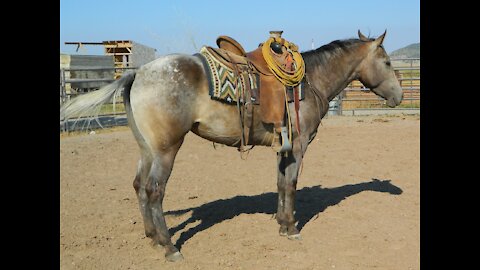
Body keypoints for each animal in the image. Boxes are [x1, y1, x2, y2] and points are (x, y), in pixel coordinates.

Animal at [62, 30, 404, 262]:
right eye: (387, 62)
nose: (399, 96)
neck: (308, 82)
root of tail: (138, 73)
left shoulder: (283, 148)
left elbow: (281, 183)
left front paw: (282, 223)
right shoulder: (298, 145)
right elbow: (291, 184)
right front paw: (292, 228)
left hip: (146, 150)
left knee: (138, 186)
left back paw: (153, 238)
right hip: (165, 150)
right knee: (154, 191)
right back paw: (170, 247)